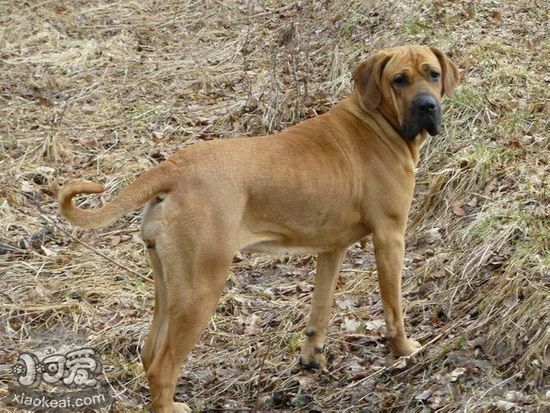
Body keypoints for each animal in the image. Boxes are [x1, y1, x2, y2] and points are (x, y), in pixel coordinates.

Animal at [57, 45, 462, 412]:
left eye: (433, 74)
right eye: (399, 80)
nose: (427, 106)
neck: (377, 120)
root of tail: (173, 167)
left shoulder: (331, 250)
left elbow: (320, 309)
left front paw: (312, 358)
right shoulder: (390, 238)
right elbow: (394, 308)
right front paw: (404, 350)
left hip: (170, 285)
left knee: (148, 352)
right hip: (201, 287)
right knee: (162, 367)